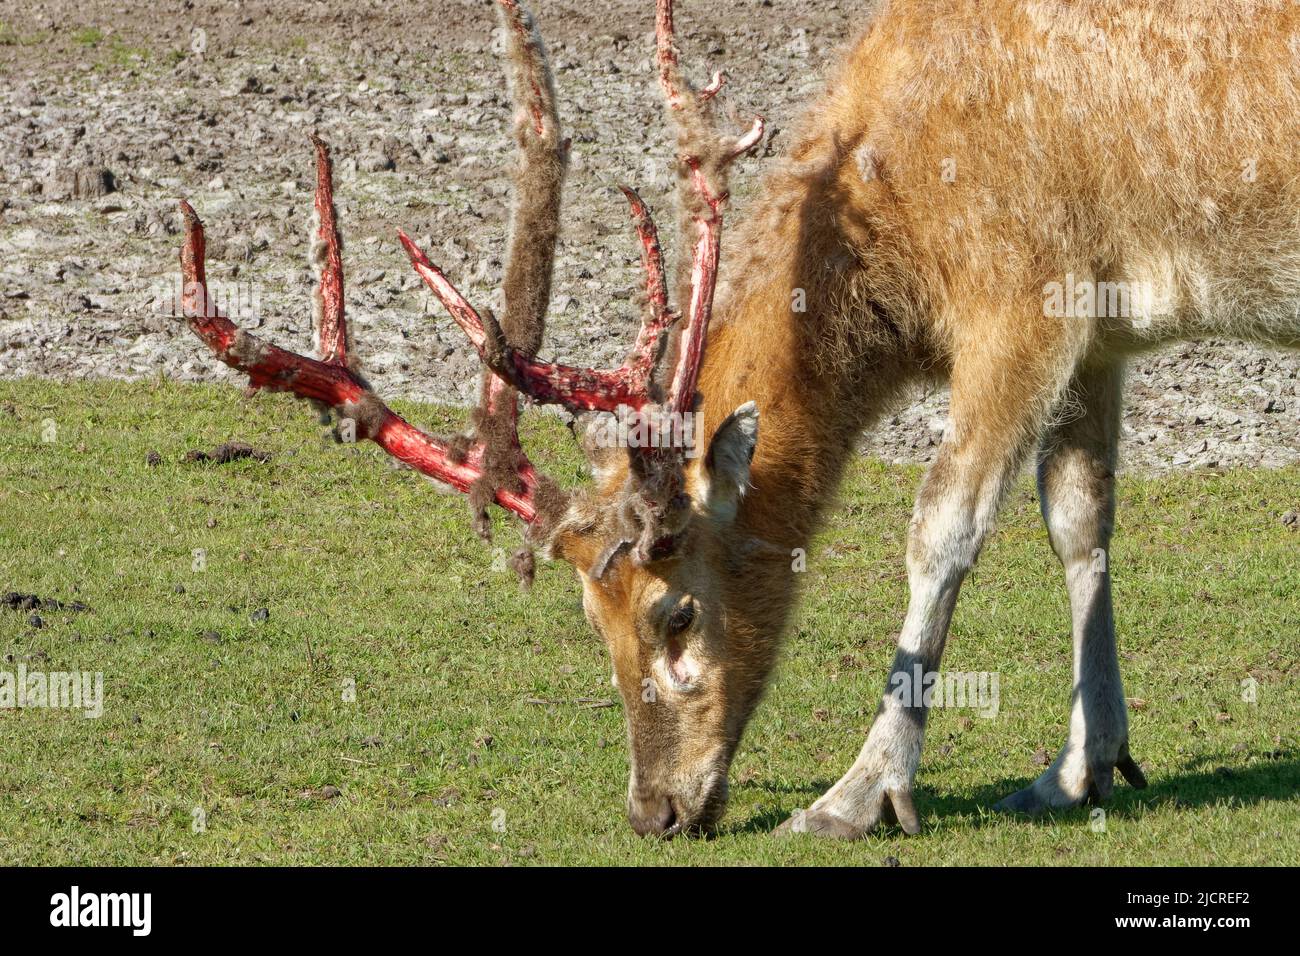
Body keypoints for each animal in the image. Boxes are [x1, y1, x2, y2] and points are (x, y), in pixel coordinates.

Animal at [172, 0, 1300, 839]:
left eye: (675, 613)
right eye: (590, 618)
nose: (655, 811)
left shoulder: (1023, 294)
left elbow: (942, 527)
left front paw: (856, 795)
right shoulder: (1098, 329)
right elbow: (1079, 515)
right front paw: (1079, 767)